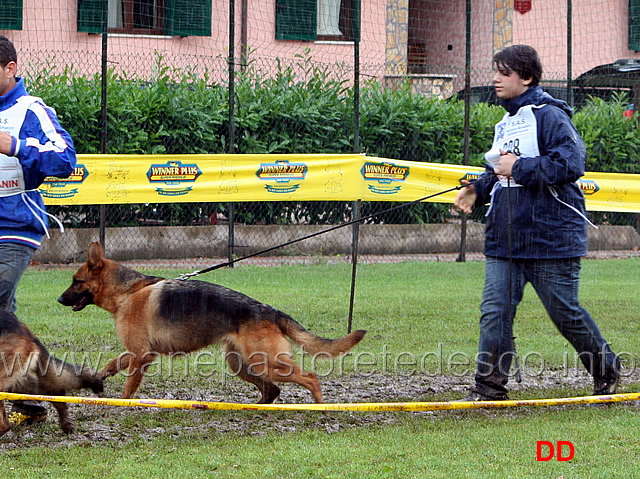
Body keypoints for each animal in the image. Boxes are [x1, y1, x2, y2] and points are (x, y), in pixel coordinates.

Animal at [58, 242, 370, 404]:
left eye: (76, 281)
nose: (59, 299)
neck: (127, 292)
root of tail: (270, 311)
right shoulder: (137, 352)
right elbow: (111, 365)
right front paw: (98, 378)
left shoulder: (141, 355)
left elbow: (128, 386)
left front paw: (121, 402)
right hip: (242, 364)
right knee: (273, 390)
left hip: (265, 363)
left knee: (310, 377)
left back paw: (318, 406)